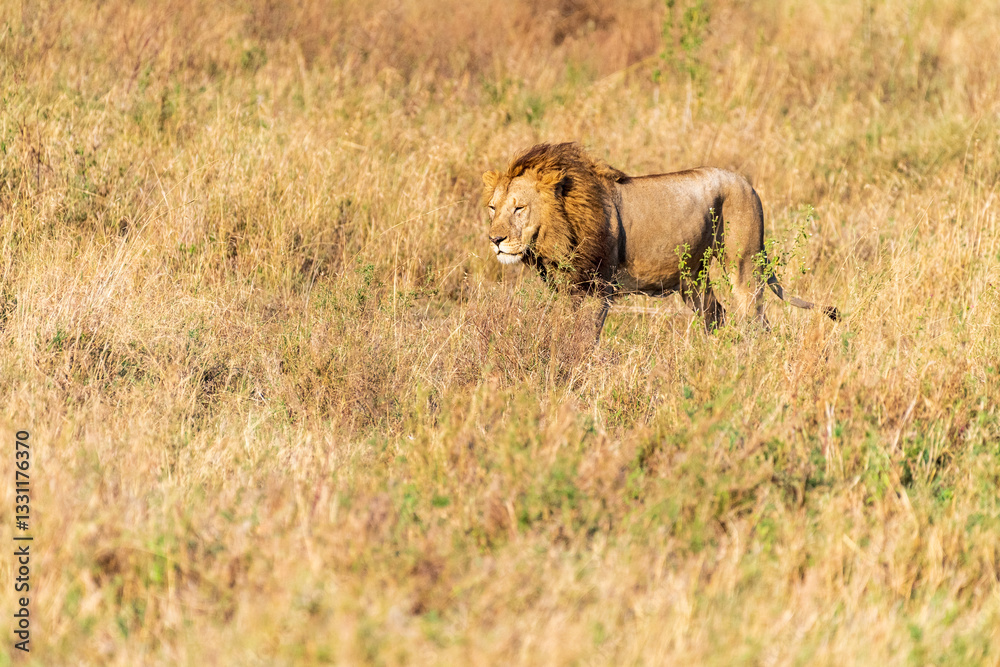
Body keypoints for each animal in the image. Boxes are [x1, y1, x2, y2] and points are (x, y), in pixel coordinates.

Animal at [482, 142, 838, 337]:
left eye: (519, 208)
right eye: (492, 208)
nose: (495, 239)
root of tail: (747, 183)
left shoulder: (599, 289)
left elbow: (587, 336)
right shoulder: (568, 291)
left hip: (744, 263)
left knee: (755, 321)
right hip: (693, 279)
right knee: (716, 314)